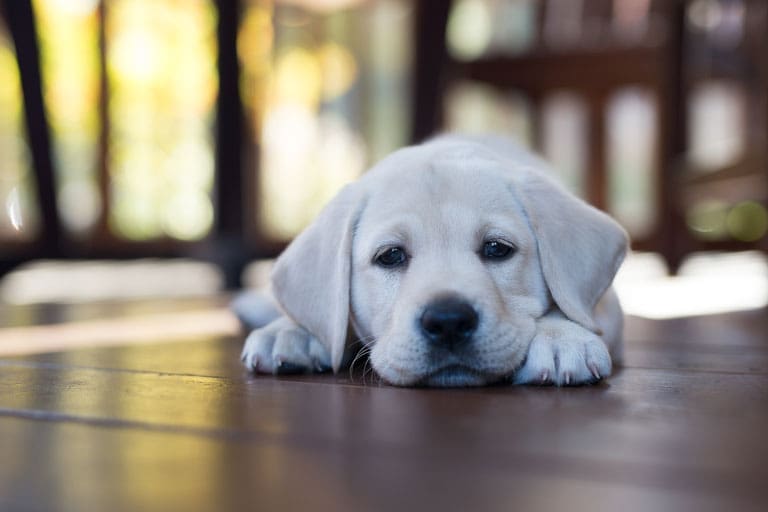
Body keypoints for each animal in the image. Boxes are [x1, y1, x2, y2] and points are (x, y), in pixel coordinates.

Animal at [237, 134, 628, 386]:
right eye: (391, 256)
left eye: (497, 248)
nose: (448, 322)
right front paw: (290, 330)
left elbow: (575, 308)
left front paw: (561, 337)